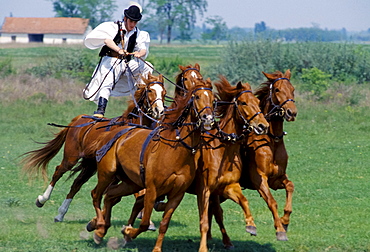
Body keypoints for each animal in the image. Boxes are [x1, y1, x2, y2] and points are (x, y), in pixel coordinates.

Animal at [20, 73, 165, 222]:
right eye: (150, 90)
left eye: (164, 93)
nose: (159, 111)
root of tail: (79, 119)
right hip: (71, 158)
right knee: (58, 172)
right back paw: (42, 199)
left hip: (90, 165)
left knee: (76, 183)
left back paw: (60, 214)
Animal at [86, 77, 214, 252]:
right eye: (197, 97)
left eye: (213, 99)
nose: (209, 118)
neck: (175, 149)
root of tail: (113, 133)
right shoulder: (152, 190)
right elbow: (145, 222)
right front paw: (127, 231)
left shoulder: (177, 195)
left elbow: (164, 224)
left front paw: (156, 248)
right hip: (107, 174)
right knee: (96, 195)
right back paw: (99, 227)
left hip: (130, 183)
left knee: (111, 195)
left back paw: (101, 229)